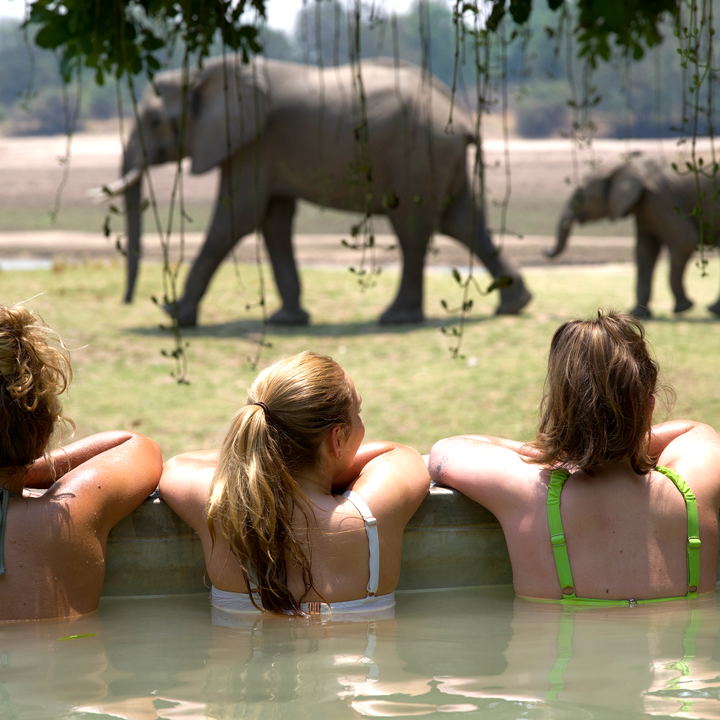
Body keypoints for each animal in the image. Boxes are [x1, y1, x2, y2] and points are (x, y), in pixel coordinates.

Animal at [106, 56, 532, 326]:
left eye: (154, 121)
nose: (127, 302)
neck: (197, 72)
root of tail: (460, 114)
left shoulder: (252, 144)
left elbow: (237, 218)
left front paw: (175, 316)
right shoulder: (262, 150)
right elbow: (273, 221)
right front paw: (287, 321)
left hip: (417, 155)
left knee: (414, 229)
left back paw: (396, 318)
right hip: (438, 157)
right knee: (462, 221)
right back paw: (514, 305)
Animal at [547, 157, 720, 318]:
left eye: (580, 197)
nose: (545, 252)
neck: (627, 166)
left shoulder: (662, 202)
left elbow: (684, 240)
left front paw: (683, 308)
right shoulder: (646, 209)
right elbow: (644, 251)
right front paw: (638, 314)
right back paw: (713, 309)